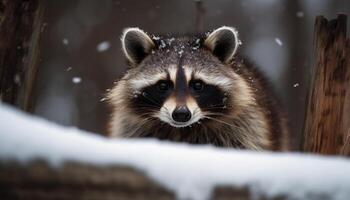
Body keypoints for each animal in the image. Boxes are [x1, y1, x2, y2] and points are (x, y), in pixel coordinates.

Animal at [107, 26, 290, 151]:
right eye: (163, 85)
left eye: (197, 85)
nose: (181, 114)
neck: (182, 130)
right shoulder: (132, 127)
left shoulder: (245, 127)